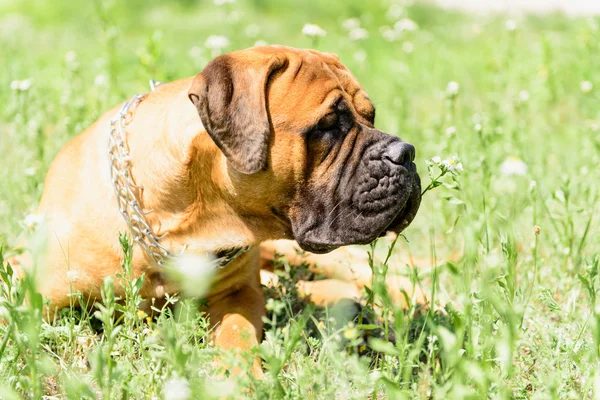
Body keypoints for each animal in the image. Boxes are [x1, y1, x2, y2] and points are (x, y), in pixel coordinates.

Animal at [8, 45, 422, 376]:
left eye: (370, 116)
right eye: (327, 126)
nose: (405, 153)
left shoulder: (240, 293)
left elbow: (237, 331)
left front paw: (239, 375)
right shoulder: (28, 299)